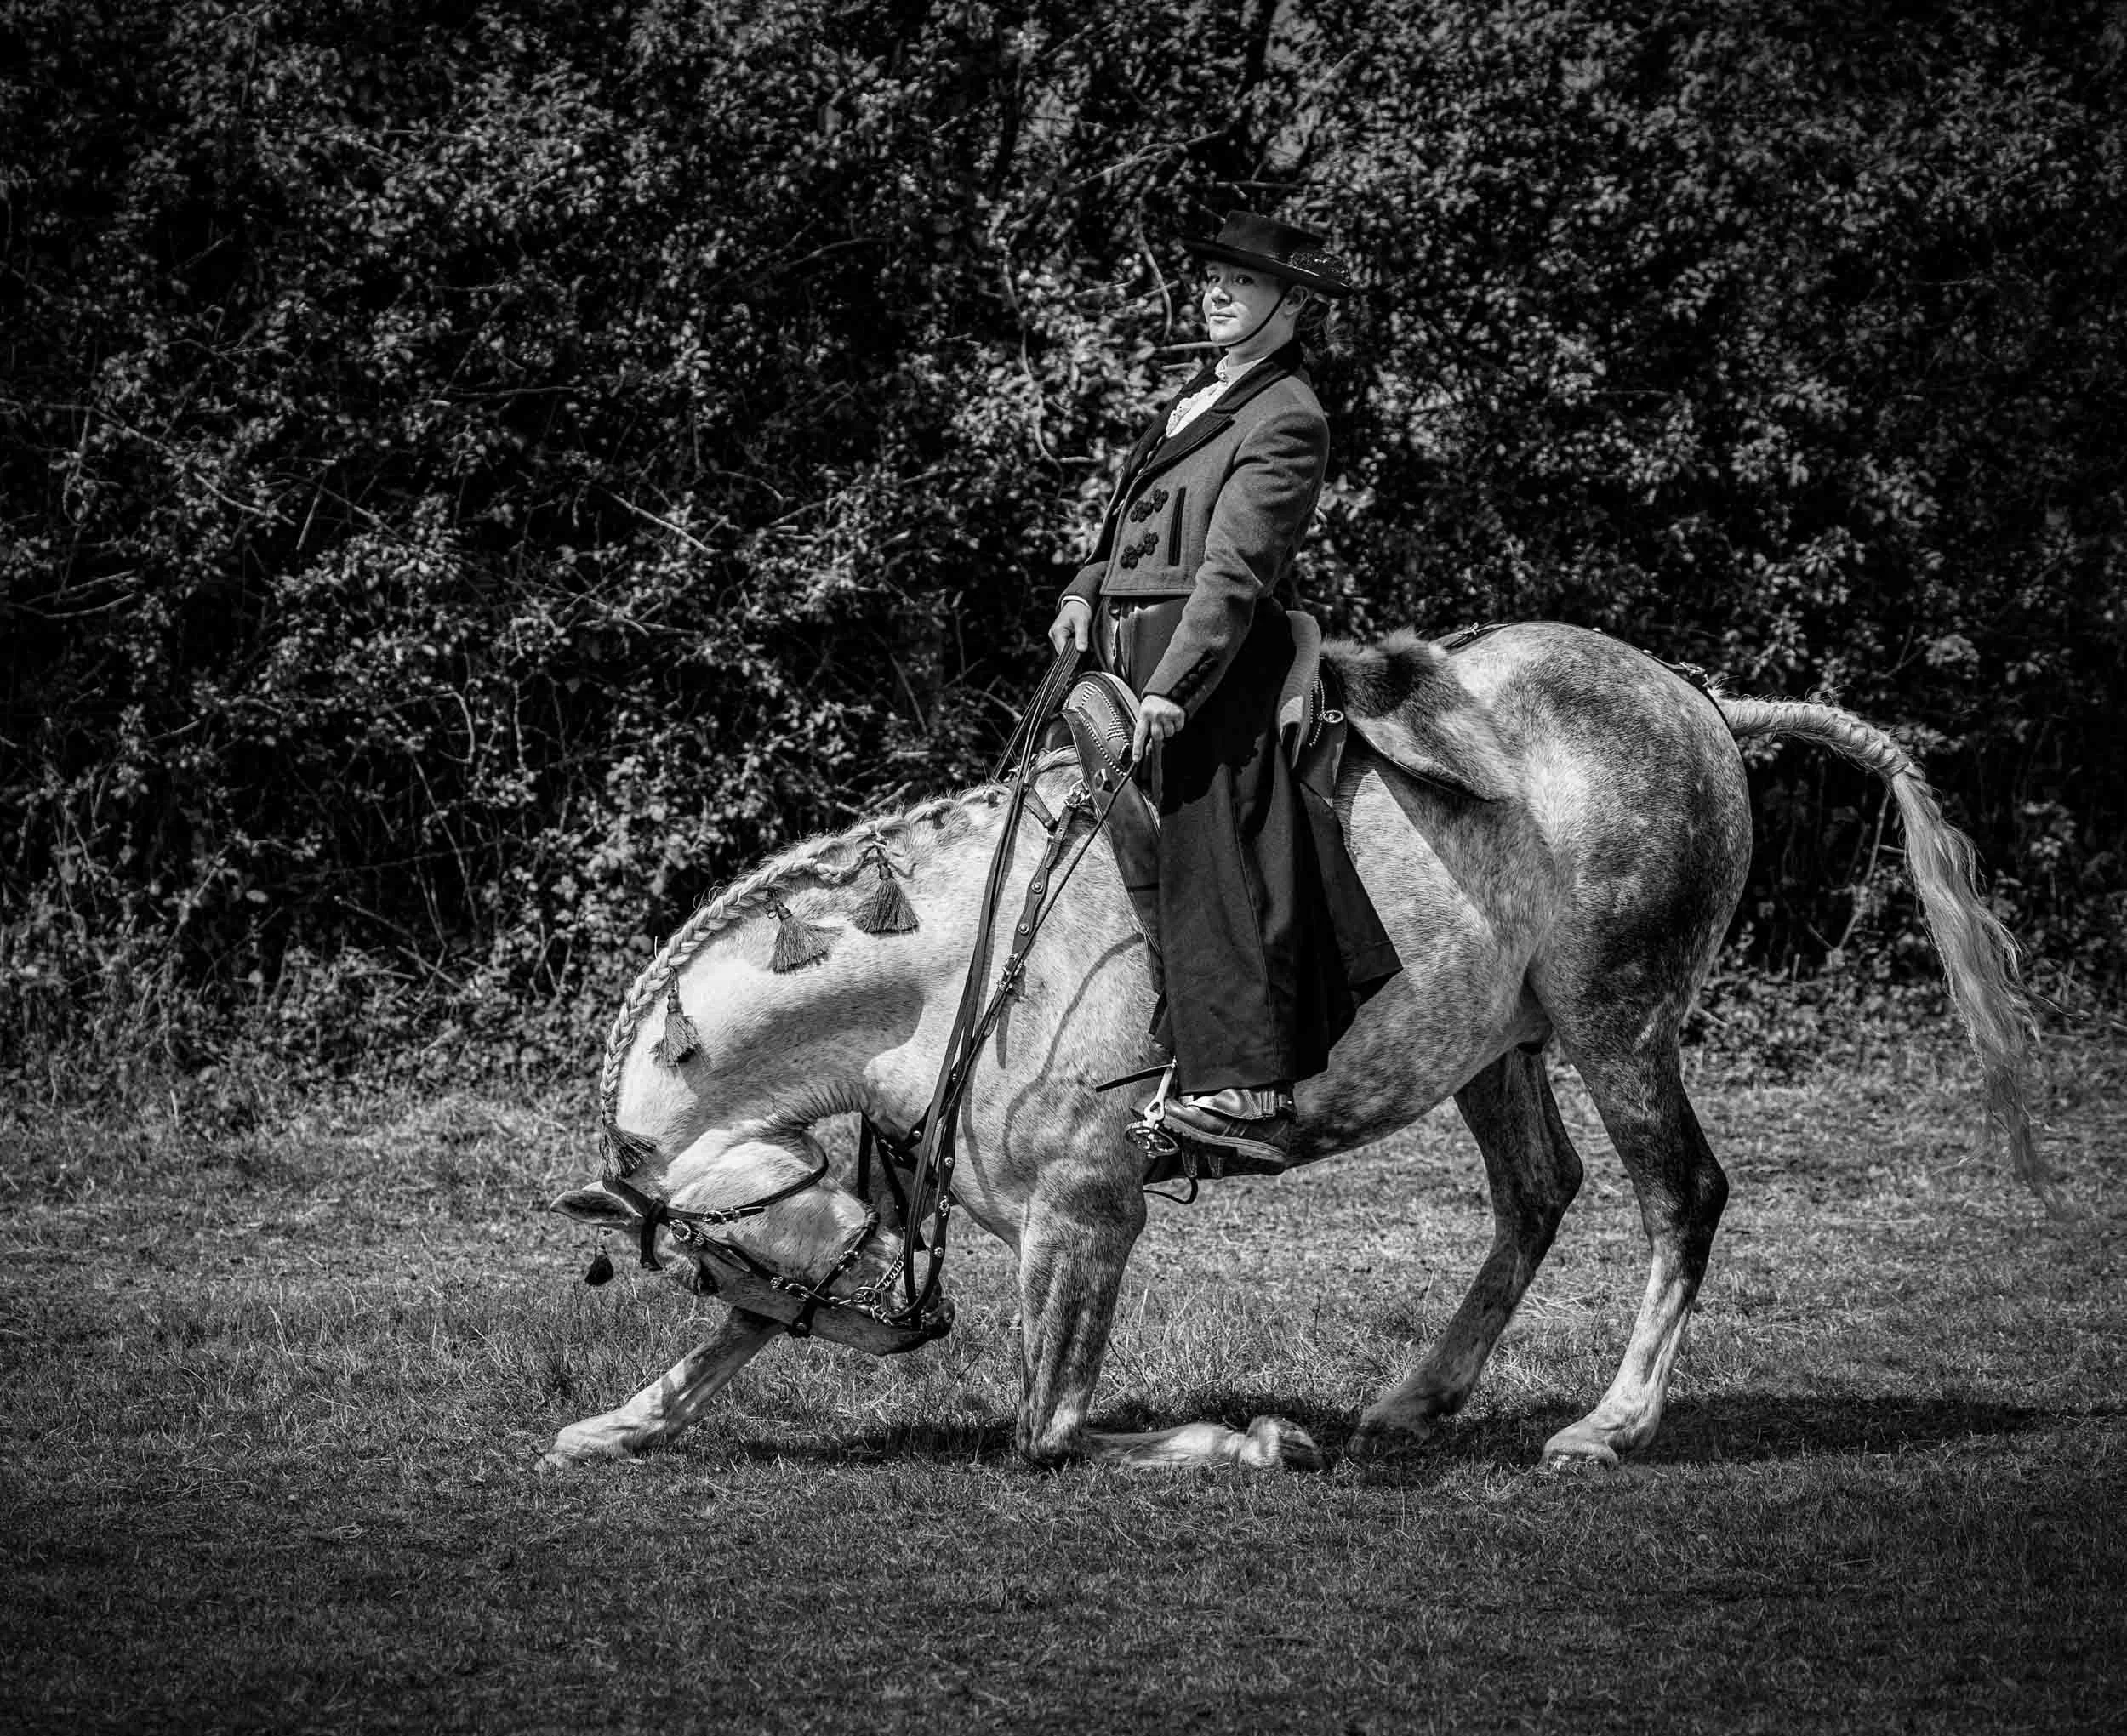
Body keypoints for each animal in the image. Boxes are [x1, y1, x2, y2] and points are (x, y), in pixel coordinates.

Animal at [544, 622, 2049, 1473]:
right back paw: (1419, 1397)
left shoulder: (1086, 1217)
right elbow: (731, 1363)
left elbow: (1048, 1430)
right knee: (1536, 1192)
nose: (894, 1328)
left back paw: (1610, 1425)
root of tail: (1702, 706)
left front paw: (1249, 1436)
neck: (955, 965)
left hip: (1619, 1021)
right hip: (1493, 1044)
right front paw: (614, 1425)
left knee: (1680, 1193)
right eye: (717, 1263)